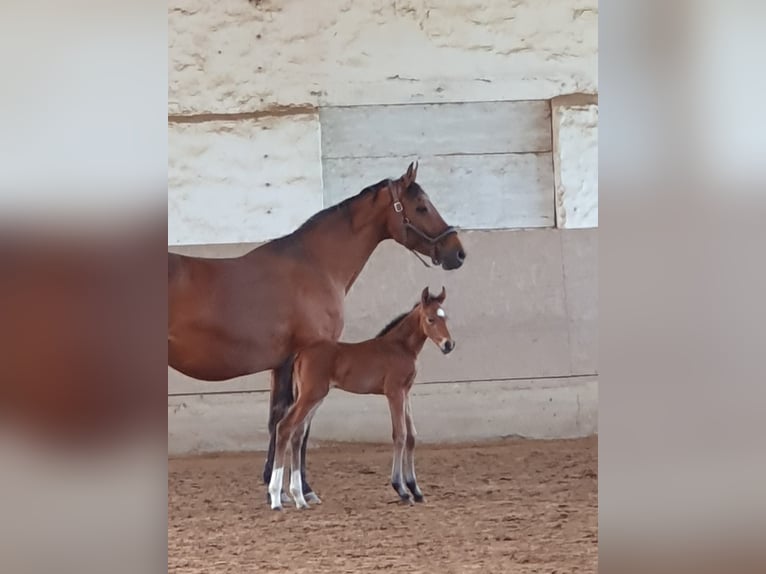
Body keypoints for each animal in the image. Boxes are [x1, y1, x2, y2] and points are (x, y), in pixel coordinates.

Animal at [268, 288, 452, 512]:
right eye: (430, 319)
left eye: (446, 318)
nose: (448, 345)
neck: (400, 347)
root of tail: (300, 354)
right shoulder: (394, 392)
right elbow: (399, 435)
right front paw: (401, 489)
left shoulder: (406, 392)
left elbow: (412, 436)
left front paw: (416, 490)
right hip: (311, 395)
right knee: (284, 427)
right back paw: (276, 499)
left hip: (314, 397)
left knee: (298, 434)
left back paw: (300, 498)